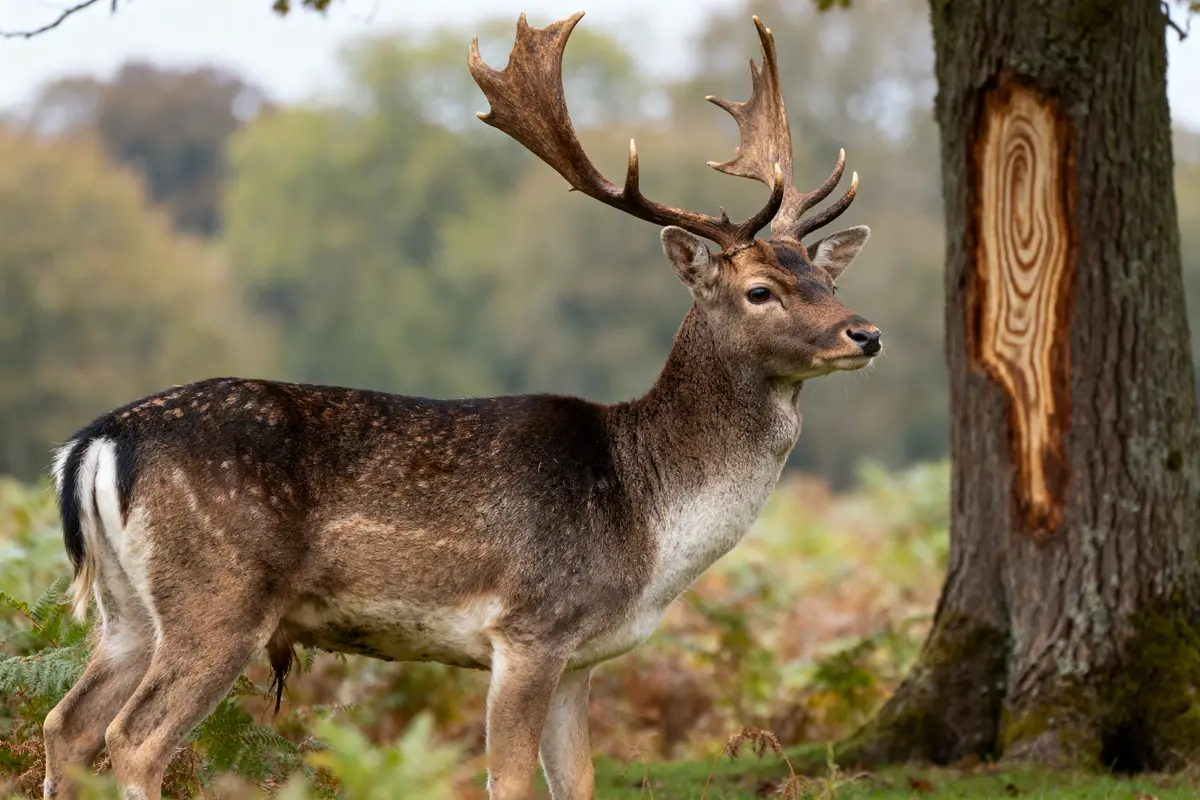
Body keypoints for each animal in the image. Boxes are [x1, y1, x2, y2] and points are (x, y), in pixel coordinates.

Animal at [41, 10, 880, 800]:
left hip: (128, 609)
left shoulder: (582, 657)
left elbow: (577, 781)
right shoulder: (529, 627)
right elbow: (508, 779)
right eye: (760, 291)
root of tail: (94, 443)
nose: (867, 333)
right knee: (134, 737)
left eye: (825, 278)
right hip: (218, 595)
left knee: (64, 723)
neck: (647, 520)